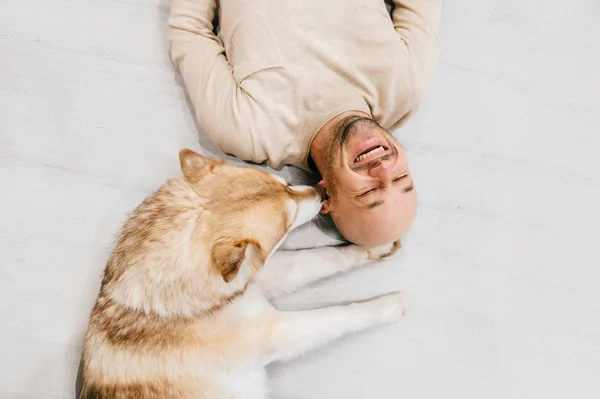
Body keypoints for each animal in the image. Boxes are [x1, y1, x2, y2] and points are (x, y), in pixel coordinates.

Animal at [79, 148, 408, 398]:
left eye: (286, 184)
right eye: (288, 223)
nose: (322, 189)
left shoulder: (260, 274)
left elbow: (325, 256)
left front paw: (373, 247)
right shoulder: (275, 331)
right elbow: (339, 315)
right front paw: (390, 305)